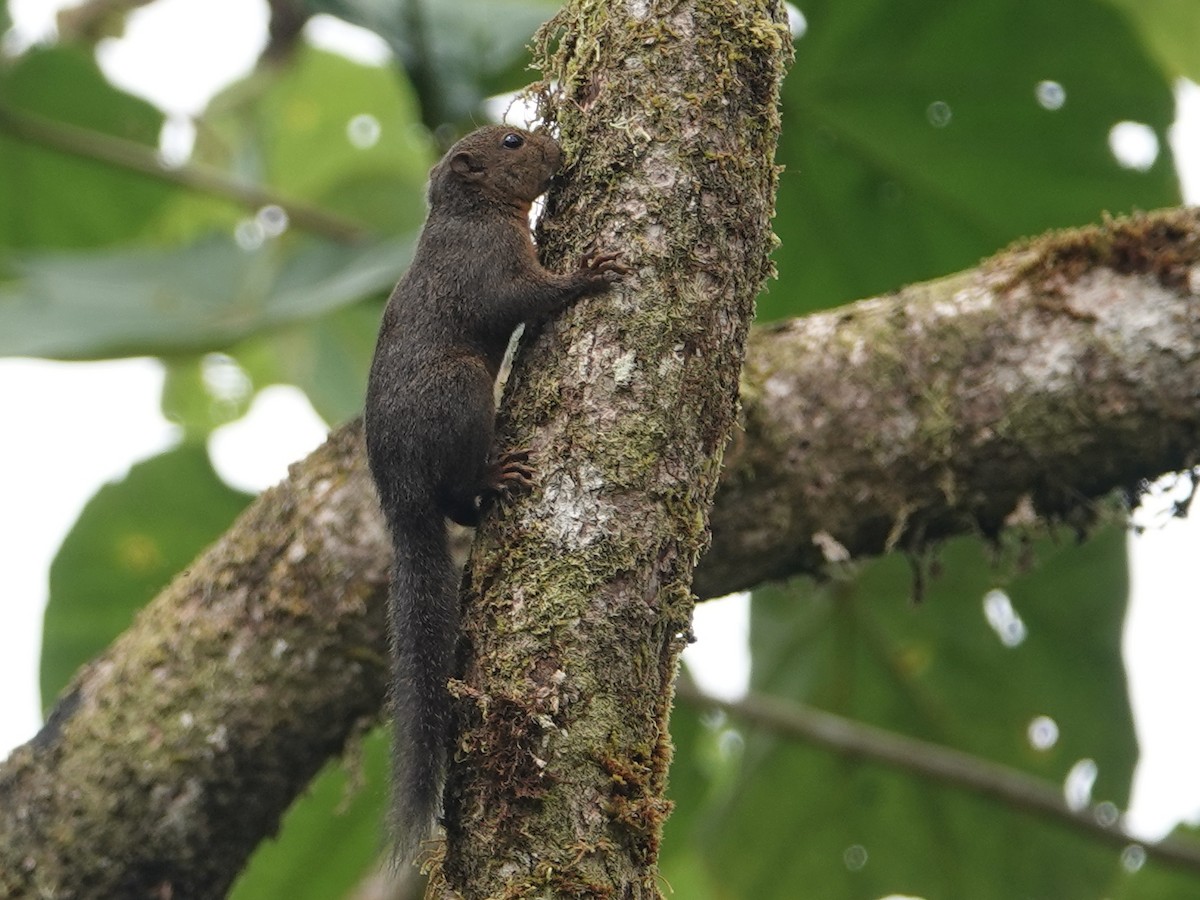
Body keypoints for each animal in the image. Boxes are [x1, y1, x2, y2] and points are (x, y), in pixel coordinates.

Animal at [363, 125, 626, 864]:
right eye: (512, 141)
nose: (554, 142)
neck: (468, 213)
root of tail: (398, 498)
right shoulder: (487, 269)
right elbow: (516, 300)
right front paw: (588, 272)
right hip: (463, 388)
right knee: (455, 493)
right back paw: (491, 479)